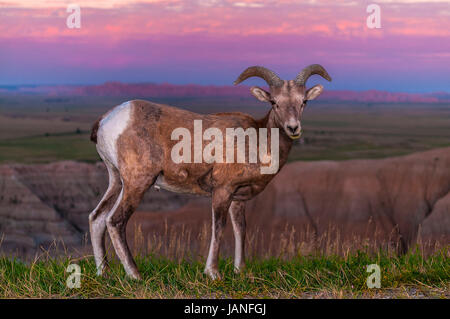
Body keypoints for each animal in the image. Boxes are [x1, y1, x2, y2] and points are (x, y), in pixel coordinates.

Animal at [89, 63, 332, 278]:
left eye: (304, 101)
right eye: (274, 102)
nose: (293, 128)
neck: (256, 140)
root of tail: (107, 120)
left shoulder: (237, 198)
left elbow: (240, 228)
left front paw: (240, 270)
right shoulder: (222, 192)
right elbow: (219, 228)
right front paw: (213, 273)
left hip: (117, 181)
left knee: (97, 218)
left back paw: (104, 272)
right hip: (138, 183)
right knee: (115, 221)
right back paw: (135, 275)